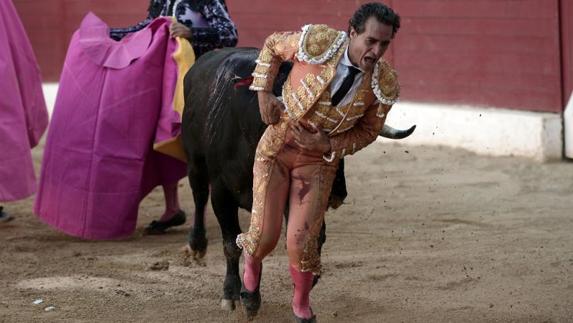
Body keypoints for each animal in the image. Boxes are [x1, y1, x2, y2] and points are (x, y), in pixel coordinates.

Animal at [181, 48, 414, 312]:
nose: (337, 194)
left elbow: (304, 238)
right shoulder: (222, 192)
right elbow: (231, 243)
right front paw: (231, 294)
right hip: (195, 163)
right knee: (199, 195)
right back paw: (196, 246)